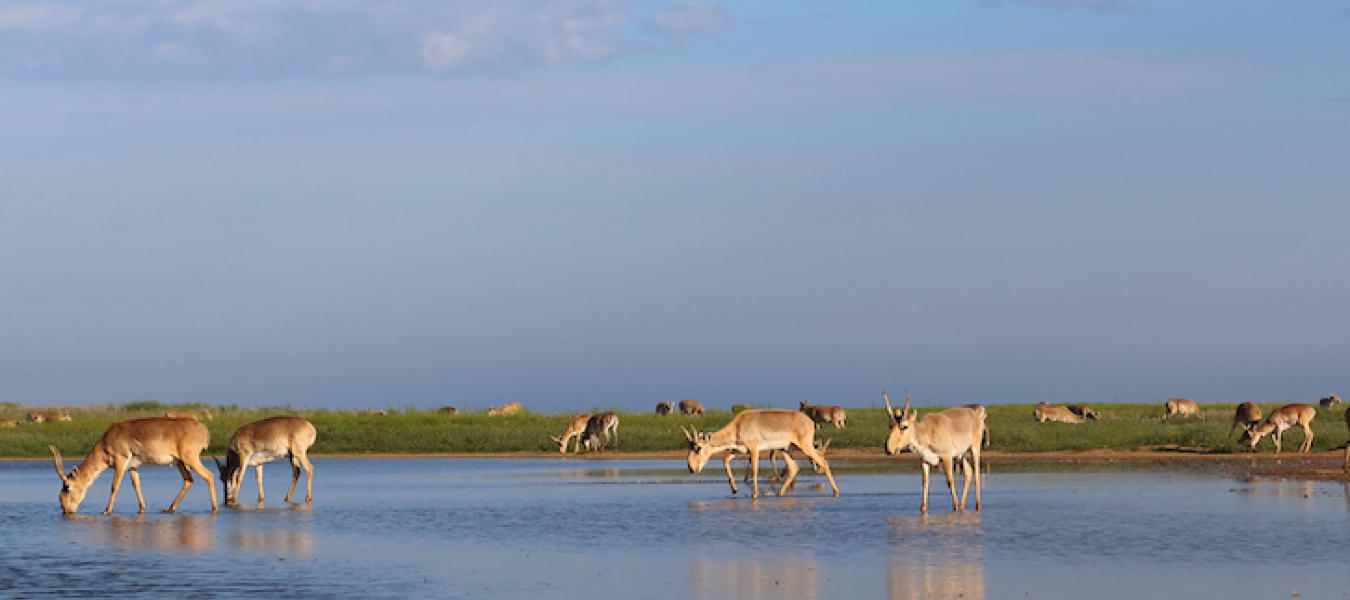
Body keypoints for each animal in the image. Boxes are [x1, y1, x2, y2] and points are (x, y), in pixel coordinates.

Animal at [47, 416, 217, 516]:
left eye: (67, 486)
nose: (65, 509)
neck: (106, 442)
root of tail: (204, 430)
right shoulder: (132, 468)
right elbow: (137, 486)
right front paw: (142, 509)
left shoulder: (120, 461)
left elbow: (114, 486)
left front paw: (106, 510)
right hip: (180, 462)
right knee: (189, 480)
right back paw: (169, 508)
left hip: (190, 459)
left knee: (209, 475)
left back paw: (214, 508)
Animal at [680, 410, 837, 500]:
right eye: (690, 447)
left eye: (698, 448)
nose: (691, 468)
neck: (739, 425)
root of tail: (810, 422)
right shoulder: (741, 450)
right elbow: (725, 459)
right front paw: (734, 489)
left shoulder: (754, 449)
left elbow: (755, 470)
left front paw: (754, 494)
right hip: (786, 449)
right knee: (794, 468)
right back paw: (779, 494)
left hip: (805, 446)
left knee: (823, 462)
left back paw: (836, 492)